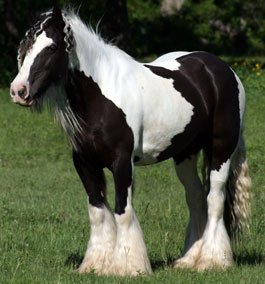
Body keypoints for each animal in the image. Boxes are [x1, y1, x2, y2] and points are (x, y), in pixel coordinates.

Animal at [9, 6, 251, 276]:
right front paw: (95, 265)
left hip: (222, 150)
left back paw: (212, 260)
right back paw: (188, 260)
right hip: (185, 154)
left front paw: (128, 265)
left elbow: (122, 211)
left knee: (215, 200)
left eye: (51, 47)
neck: (102, 97)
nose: (18, 91)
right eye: (25, 46)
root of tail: (222, 69)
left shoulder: (122, 163)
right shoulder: (85, 164)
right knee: (196, 198)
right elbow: (97, 212)